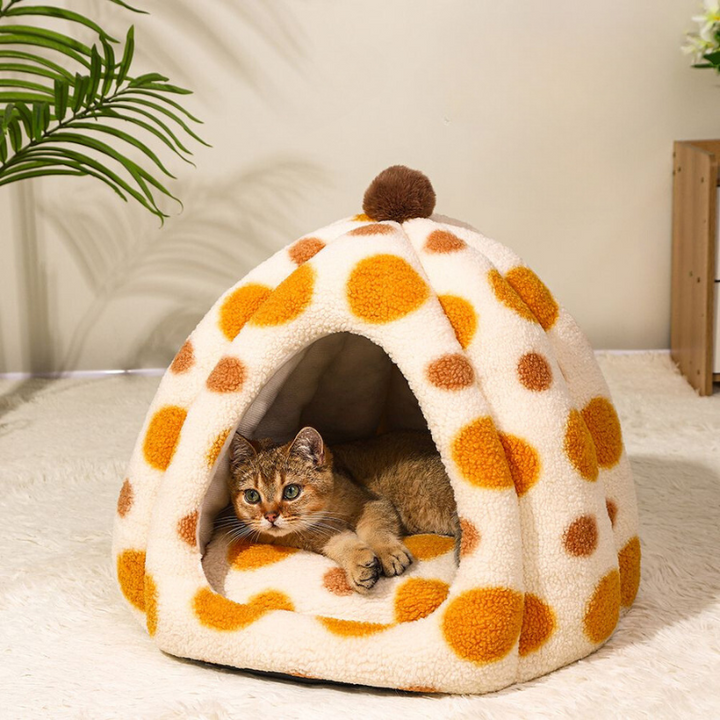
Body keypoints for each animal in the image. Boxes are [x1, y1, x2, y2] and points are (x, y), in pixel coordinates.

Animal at [225, 424, 458, 592]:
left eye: (291, 491)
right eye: (252, 495)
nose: (270, 516)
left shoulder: (372, 503)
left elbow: (374, 529)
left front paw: (388, 553)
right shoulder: (318, 537)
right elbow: (341, 543)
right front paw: (359, 566)